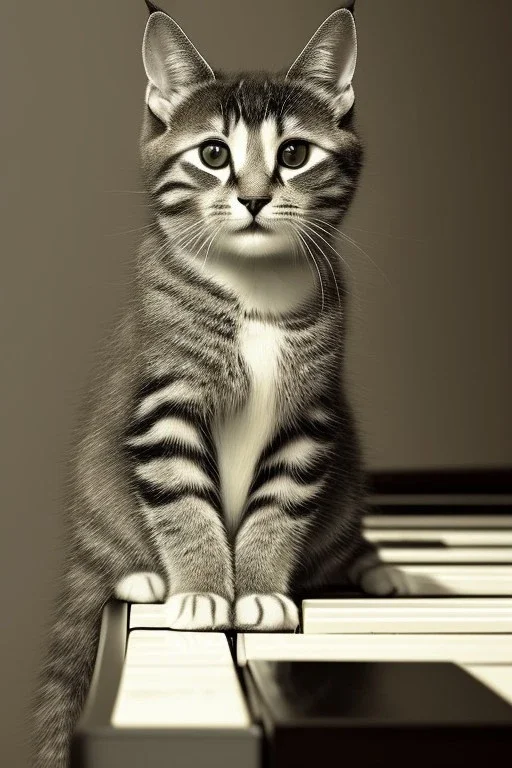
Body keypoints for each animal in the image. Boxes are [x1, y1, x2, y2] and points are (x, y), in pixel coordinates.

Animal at [31, 3, 408, 764]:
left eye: (293, 155)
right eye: (213, 155)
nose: (256, 199)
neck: (254, 291)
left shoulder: (308, 417)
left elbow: (278, 506)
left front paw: (258, 589)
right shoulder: (163, 401)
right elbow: (183, 502)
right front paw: (206, 590)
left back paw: (378, 568)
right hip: (100, 510)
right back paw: (141, 574)